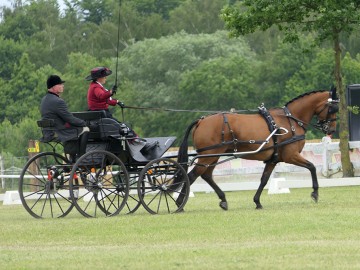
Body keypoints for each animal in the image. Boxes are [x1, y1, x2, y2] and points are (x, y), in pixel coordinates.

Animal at [178, 87, 340, 210]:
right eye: (332, 108)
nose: (331, 130)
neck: (290, 120)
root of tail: (201, 120)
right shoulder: (291, 155)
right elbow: (312, 166)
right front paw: (315, 193)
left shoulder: (273, 160)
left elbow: (264, 179)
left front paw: (257, 202)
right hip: (209, 155)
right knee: (192, 176)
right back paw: (180, 203)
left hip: (212, 156)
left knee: (206, 175)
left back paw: (223, 200)